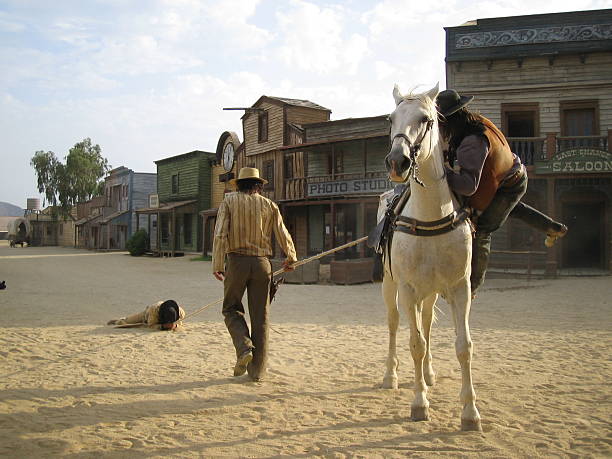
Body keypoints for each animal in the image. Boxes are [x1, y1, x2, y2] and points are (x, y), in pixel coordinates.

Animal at [380, 84, 480, 434]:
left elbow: (463, 346)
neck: (430, 216)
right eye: (391, 118)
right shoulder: (408, 290)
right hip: (391, 287)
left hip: (431, 293)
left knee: (426, 323)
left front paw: (470, 412)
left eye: (426, 119)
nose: (397, 161)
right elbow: (416, 344)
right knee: (395, 325)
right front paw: (419, 403)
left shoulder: (460, 289)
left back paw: (428, 374)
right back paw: (391, 376)